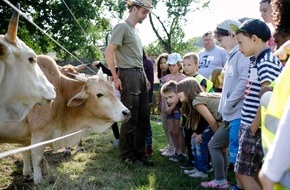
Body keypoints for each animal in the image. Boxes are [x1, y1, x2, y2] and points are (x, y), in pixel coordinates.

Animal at [0, 55, 130, 184]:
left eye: (112, 89)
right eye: (99, 94)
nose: (126, 112)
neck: (60, 93)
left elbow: (25, 151)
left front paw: (28, 174)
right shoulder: (38, 132)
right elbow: (36, 157)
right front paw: (38, 180)